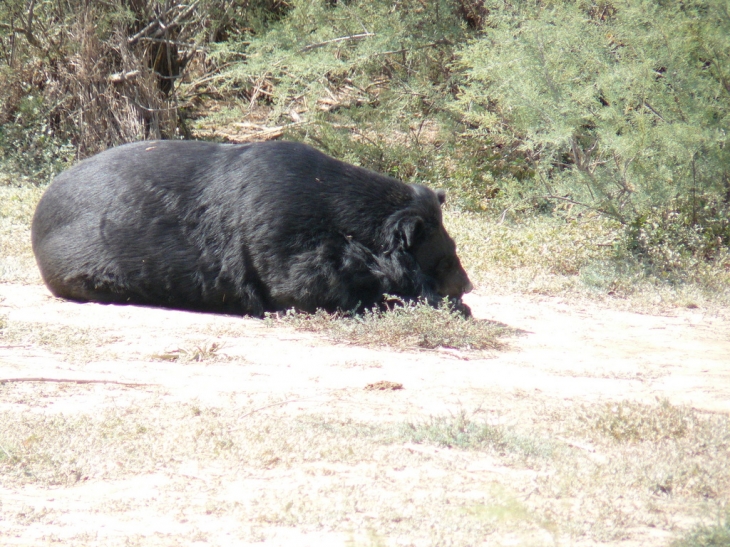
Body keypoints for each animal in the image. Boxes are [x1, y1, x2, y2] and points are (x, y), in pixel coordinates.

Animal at [31, 140, 472, 316]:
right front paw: (450, 306)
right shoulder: (281, 239)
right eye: (445, 260)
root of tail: (38, 219)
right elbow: (310, 288)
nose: (467, 285)